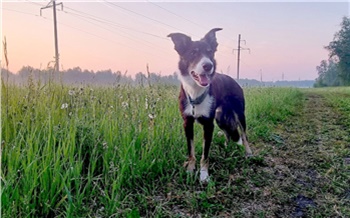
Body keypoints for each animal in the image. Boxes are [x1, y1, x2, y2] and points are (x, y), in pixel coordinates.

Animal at [167, 28, 252, 183]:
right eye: (193, 53)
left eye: (210, 52)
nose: (208, 66)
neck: (196, 91)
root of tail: (233, 80)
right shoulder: (187, 123)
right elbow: (191, 151)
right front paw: (190, 171)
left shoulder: (208, 125)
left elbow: (205, 154)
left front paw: (204, 175)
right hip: (220, 118)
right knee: (228, 133)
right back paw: (226, 147)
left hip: (239, 113)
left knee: (243, 134)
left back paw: (248, 153)